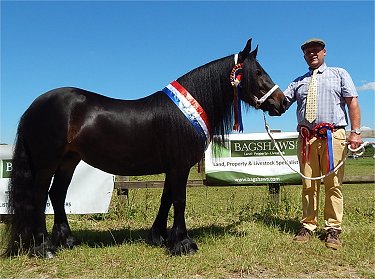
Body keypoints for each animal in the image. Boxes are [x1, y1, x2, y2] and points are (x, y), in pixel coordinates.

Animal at [2, 38, 286, 260]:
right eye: (258, 72)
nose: (281, 102)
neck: (183, 113)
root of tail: (34, 106)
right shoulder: (180, 166)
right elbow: (179, 200)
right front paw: (183, 243)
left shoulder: (173, 167)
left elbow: (166, 198)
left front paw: (159, 236)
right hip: (47, 163)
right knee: (40, 197)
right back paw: (43, 247)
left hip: (68, 161)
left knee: (57, 195)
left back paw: (67, 241)